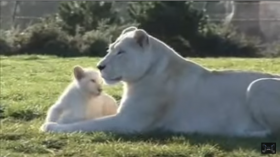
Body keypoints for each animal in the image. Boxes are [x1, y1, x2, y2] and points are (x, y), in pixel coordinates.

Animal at [40, 26, 280, 137]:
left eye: (121, 52)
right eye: (110, 49)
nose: (100, 66)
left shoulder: (130, 122)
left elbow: (88, 125)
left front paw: (50, 126)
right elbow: (87, 119)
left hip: (257, 86)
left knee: (272, 132)